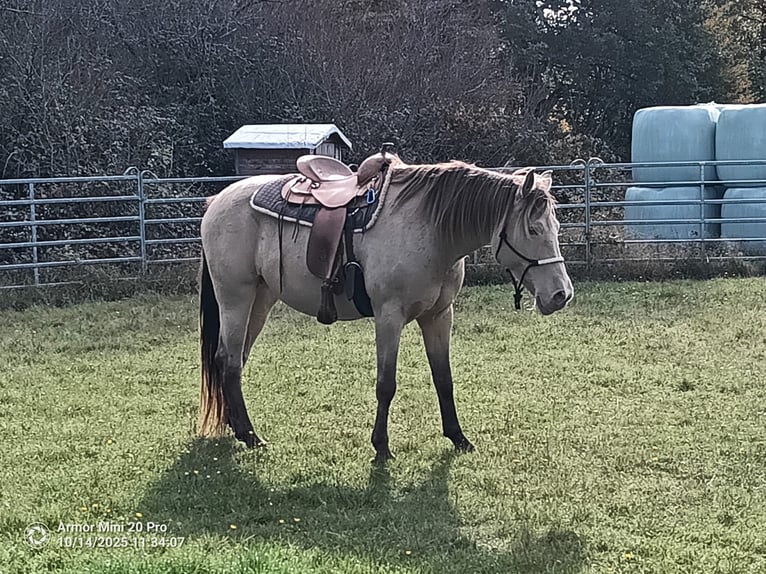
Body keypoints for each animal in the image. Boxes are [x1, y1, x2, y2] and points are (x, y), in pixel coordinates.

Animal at [197, 157, 573, 462]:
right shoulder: (389, 317)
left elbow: (444, 379)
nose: (561, 295)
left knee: (235, 360)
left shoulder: (439, 316)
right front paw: (381, 447)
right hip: (235, 297)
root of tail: (217, 201)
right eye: (533, 229)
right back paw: (250, 436)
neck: (432, 229)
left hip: (260, 299)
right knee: (228, 361)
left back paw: (237, 428)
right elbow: (386, 384)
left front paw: (458, 437)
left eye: (556, 228)